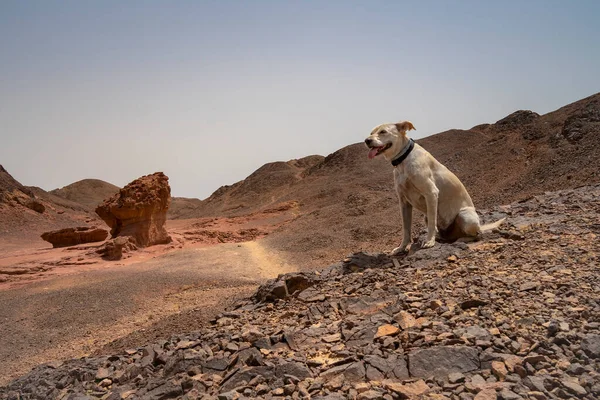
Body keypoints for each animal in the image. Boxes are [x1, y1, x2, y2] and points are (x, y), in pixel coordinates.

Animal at [364, 120, 504, 255]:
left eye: (383, 131)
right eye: (371, 132)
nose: (367, 140)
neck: (403, 160)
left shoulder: (431, 193)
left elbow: (432, 222)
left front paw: (429, 242)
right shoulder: (403, 202)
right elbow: (406, 229)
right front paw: (401, 248)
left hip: (465, 216)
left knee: (476, 235)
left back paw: (460, 239)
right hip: (428, 217)